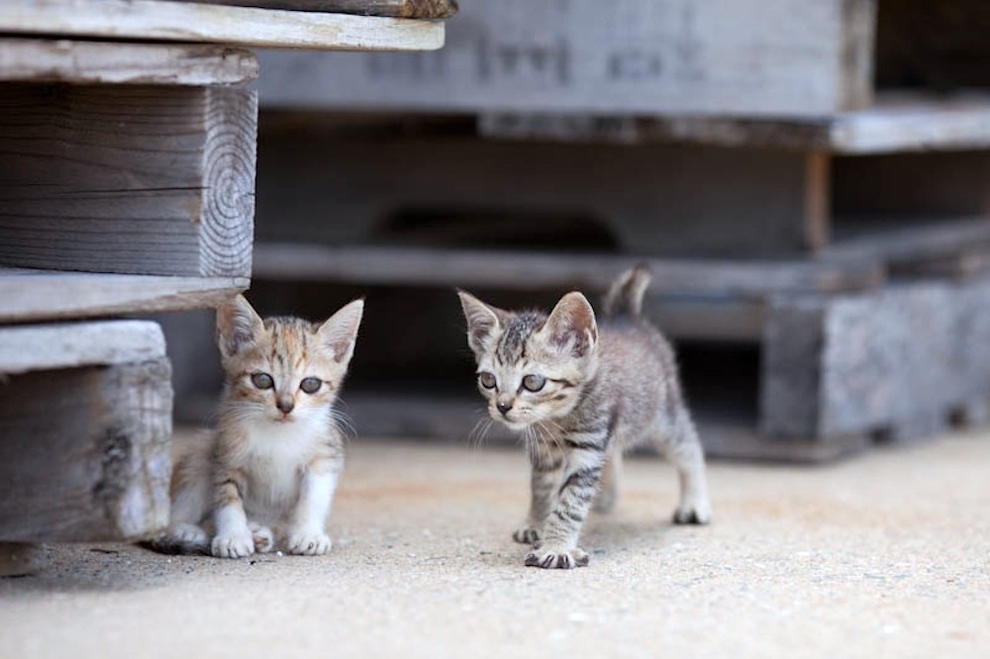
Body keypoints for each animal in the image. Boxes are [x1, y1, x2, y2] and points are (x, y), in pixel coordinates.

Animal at [149, 296, 362, 560]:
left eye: (310, 384)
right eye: (262, 380)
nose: (286, 406)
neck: (279, 434)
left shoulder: (324, 456)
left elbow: (313, 499)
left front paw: (308, 534)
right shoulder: (226, 455)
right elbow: (227, 498)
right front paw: (233, 536)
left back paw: (259, 532)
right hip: (201, 453)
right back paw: (188, 531)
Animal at [462, 266, 708, 568]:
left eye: (532, 382)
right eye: (488, 380)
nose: (503, 406)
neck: (556, 418)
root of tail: (626, 318)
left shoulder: (587, 447)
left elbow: (570, 501)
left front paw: (556, 546)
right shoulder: (545, 450)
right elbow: (541, 487)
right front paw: (536, 522)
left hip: (664, 417)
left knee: (689, 448)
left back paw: (694, 504)